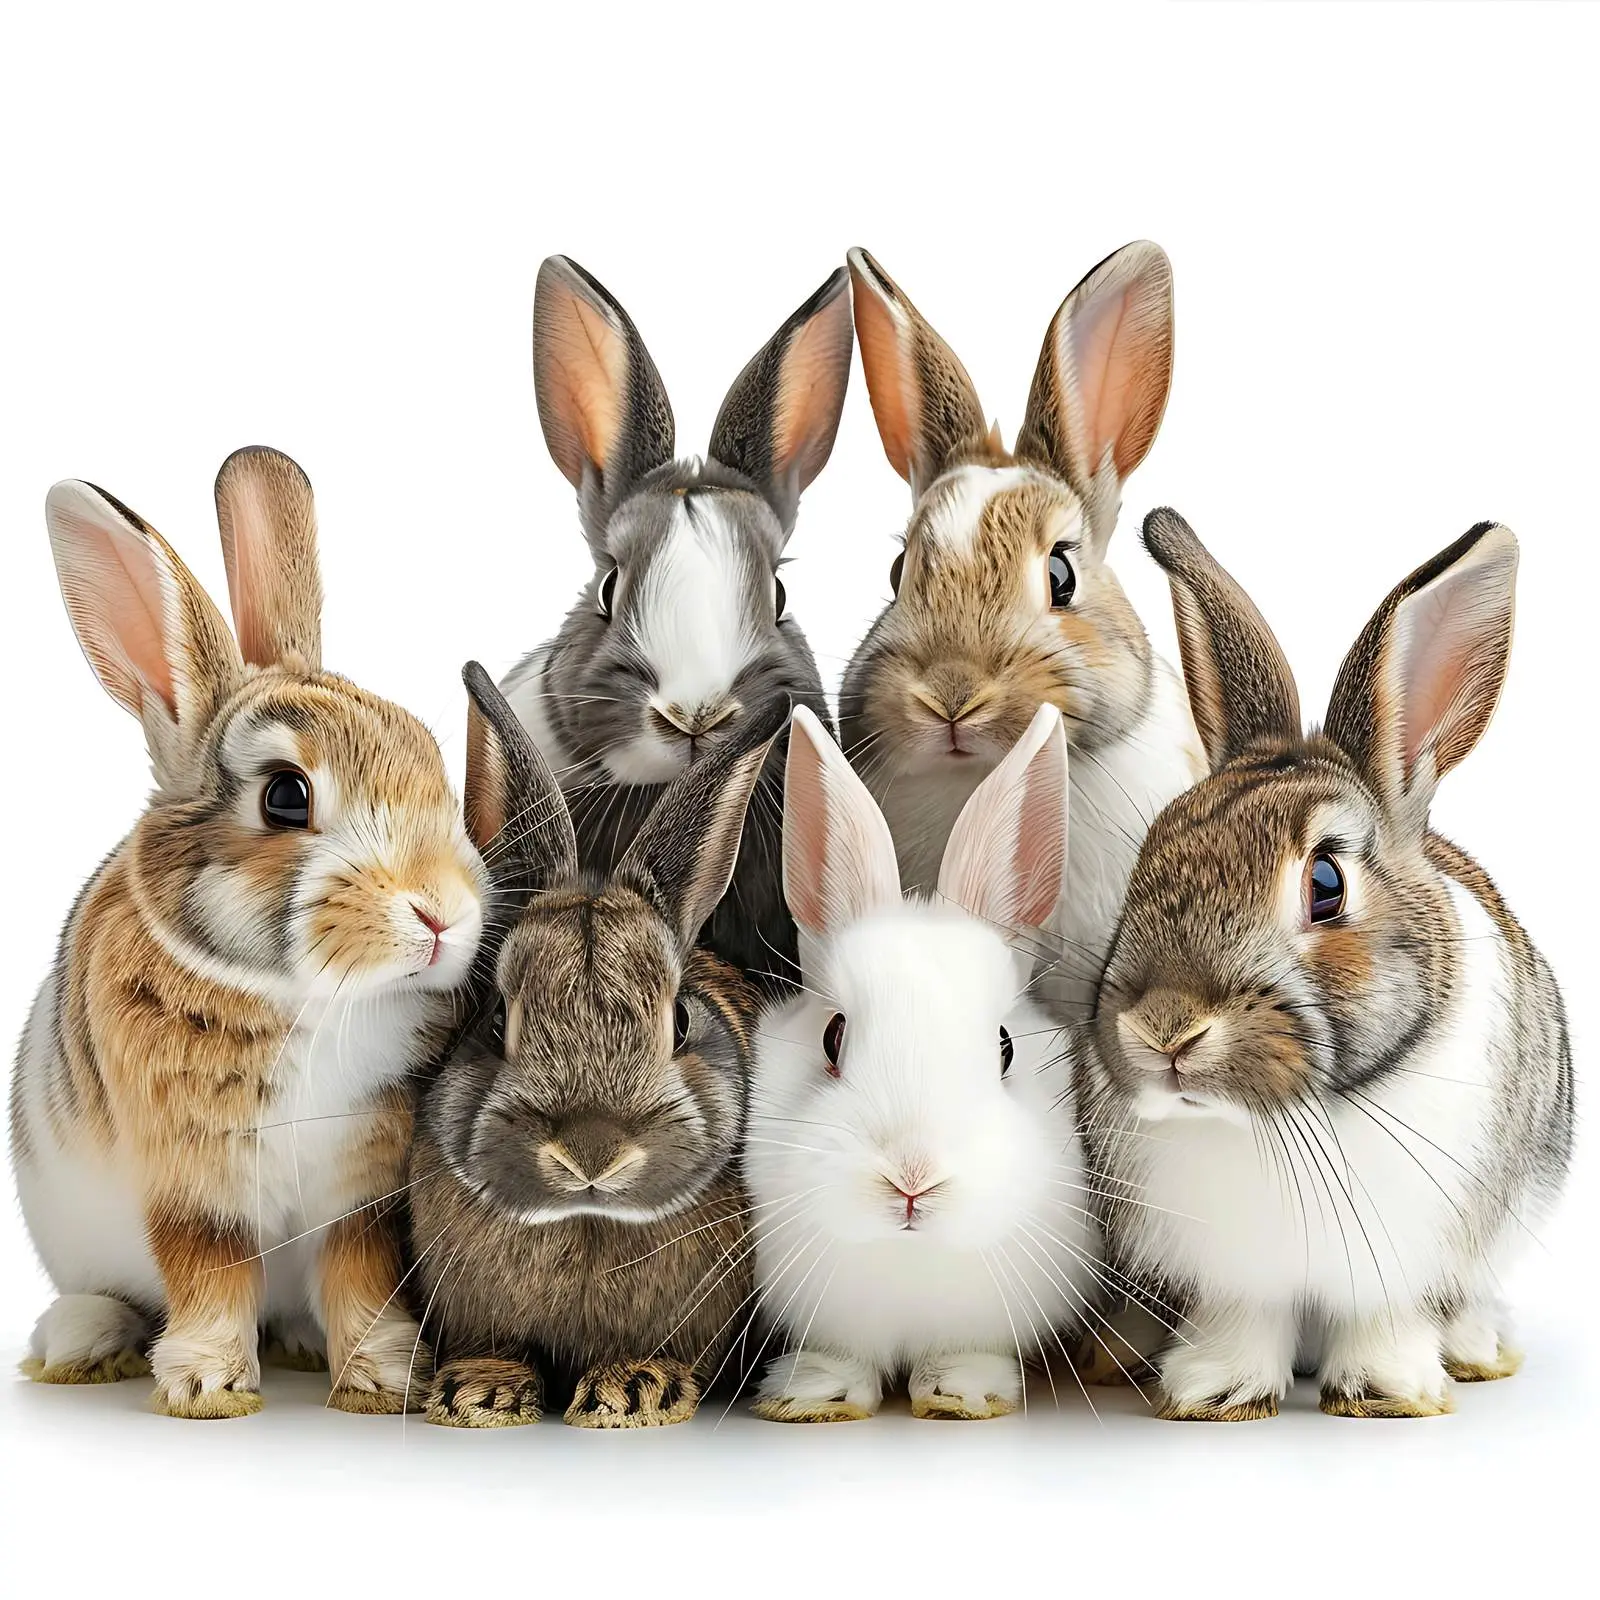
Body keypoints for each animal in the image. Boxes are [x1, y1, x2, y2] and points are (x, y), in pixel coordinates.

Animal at [11, 448, 487, 1418]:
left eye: (431, 755)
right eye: (285, 796)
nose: (442, 913)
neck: (308, 1000)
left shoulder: (361, 1192)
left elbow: (359, 1275)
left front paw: (385, 1378)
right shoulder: (195, 1182)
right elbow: (209, 1271)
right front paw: (206, 1386)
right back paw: (82, 1343)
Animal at [408, 663, 777, 1429]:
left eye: (681, 1022)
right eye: (496, 1021)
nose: (591, 1151)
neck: (587, 1216)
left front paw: (634, 1388)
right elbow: (495, 1346)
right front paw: (477, 1393)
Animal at [744, 701, 1109, 1423]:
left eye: (1006, 1047)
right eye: (832, 1038)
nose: (913, 1179)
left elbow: (964, 1352)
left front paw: (962, 1393)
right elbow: (843, 1356)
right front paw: (815, 1394)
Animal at [1078, 508, 1573, 1421]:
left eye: (1326, 885)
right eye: (1151, 852)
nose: (1165, 1029)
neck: (1286, 1118)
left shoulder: (1404, 1266)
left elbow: (1388, 1321)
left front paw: (1386, 1392)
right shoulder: (1231, 1277)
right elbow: (1240, 1322)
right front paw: (1215, 1393)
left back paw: (1477, 1348)